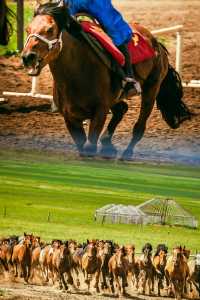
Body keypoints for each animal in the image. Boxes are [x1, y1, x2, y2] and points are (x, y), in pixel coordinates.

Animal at [21, 0, 191, 159]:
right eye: (27, 29)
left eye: (50, 29)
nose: (28, 56)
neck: (76, 74)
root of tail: (156, 43)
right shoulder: (70, 118)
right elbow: (82, 147)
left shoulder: (100, 111)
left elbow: (89, 147)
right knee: (122, 108)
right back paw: (108, 144)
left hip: (152, 87)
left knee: (139, 126)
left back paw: (126, 153)